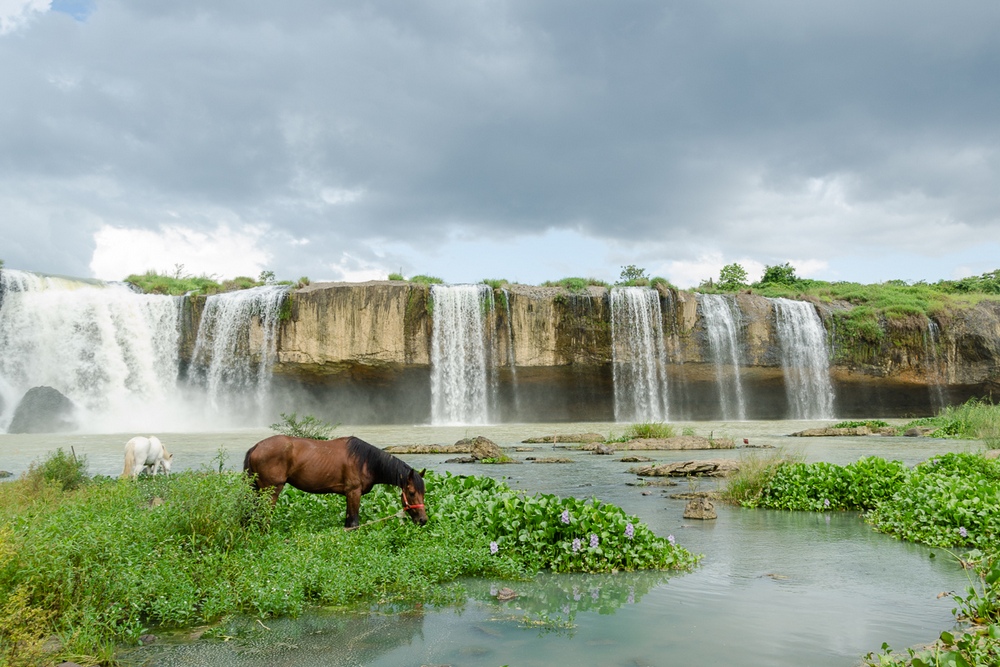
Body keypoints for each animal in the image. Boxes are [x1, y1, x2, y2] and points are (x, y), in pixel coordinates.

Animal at [246, 436, 430, 528]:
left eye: (424, 493)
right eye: (411, 493)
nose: (423, 520)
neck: (365, 461)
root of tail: (256, 447)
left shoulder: (349, 495)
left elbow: (348, 522)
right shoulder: (354, 492)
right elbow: (354, 523)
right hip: (270, 491)